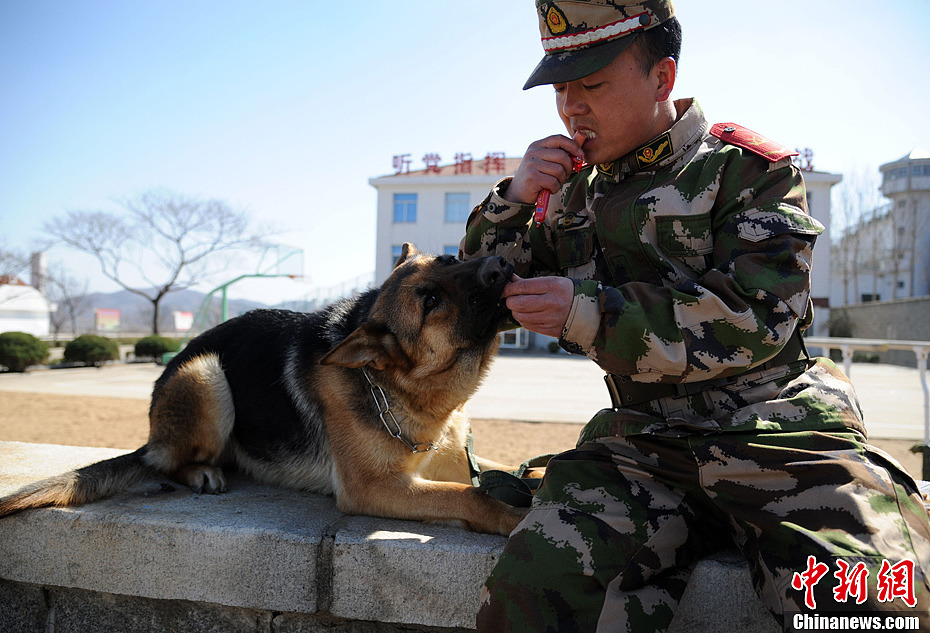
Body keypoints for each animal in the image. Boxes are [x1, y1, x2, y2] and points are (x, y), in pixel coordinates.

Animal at [0, 244, 532, 536]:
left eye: (451, 258)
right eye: (431, 301)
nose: (500, 263)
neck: (405, 388)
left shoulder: (452, 462)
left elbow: (507, 474)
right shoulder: (373, 488)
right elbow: (470, 498)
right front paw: (512, 520)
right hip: (206, 374)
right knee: (165, 463)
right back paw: (201, 472)